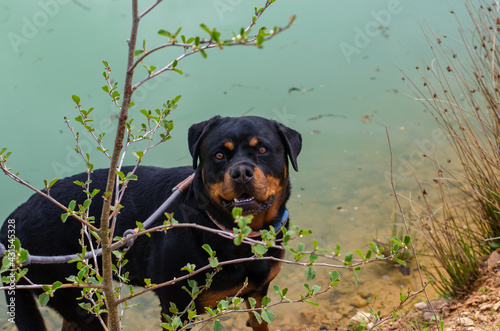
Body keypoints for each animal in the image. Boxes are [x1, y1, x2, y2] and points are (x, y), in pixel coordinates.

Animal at [0, 116, 300, 331]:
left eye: (262, 149)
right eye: (218, 155)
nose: (241, 172)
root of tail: (12, 221)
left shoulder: (259, 294)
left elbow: (260, 323)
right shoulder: (177, 308)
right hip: (84, 300)